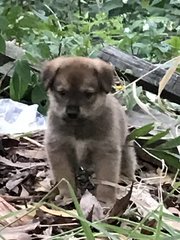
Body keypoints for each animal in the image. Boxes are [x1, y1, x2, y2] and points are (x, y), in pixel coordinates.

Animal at [41, 56, 136, 206]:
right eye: (62, 93)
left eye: (88, 94)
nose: (72, 113)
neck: (78, 127)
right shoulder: (58, 148)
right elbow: (64, 176)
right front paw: (68, 195)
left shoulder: (106, 152)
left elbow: (107, 179)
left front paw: (105, 200)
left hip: (126, 152)